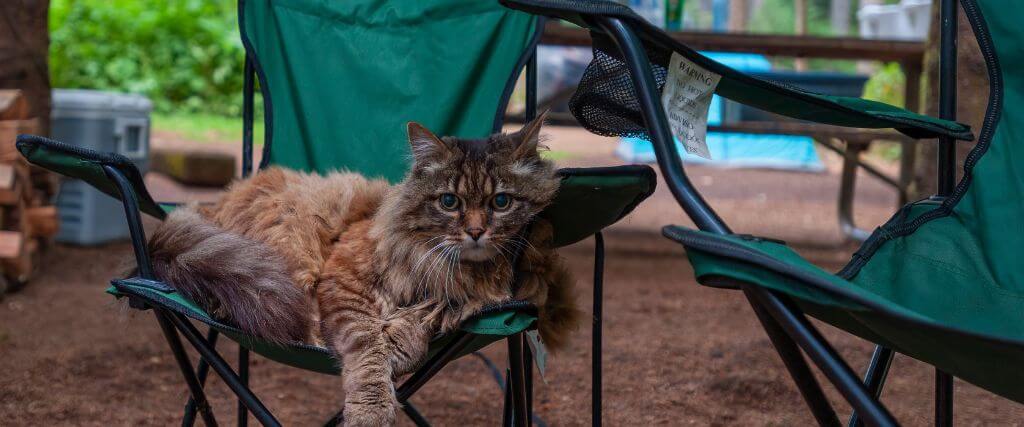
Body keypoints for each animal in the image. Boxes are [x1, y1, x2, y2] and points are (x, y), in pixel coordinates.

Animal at [142, 114, 585, 425]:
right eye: (449, 202)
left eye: (501, 202)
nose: (476, 232)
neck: (461, 272)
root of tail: (214, 204)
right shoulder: (343, 283)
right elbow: (367, 348)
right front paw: (371, 408)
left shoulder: (465, 301)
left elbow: (422, 320)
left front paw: (402, 343)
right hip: (293, 247)